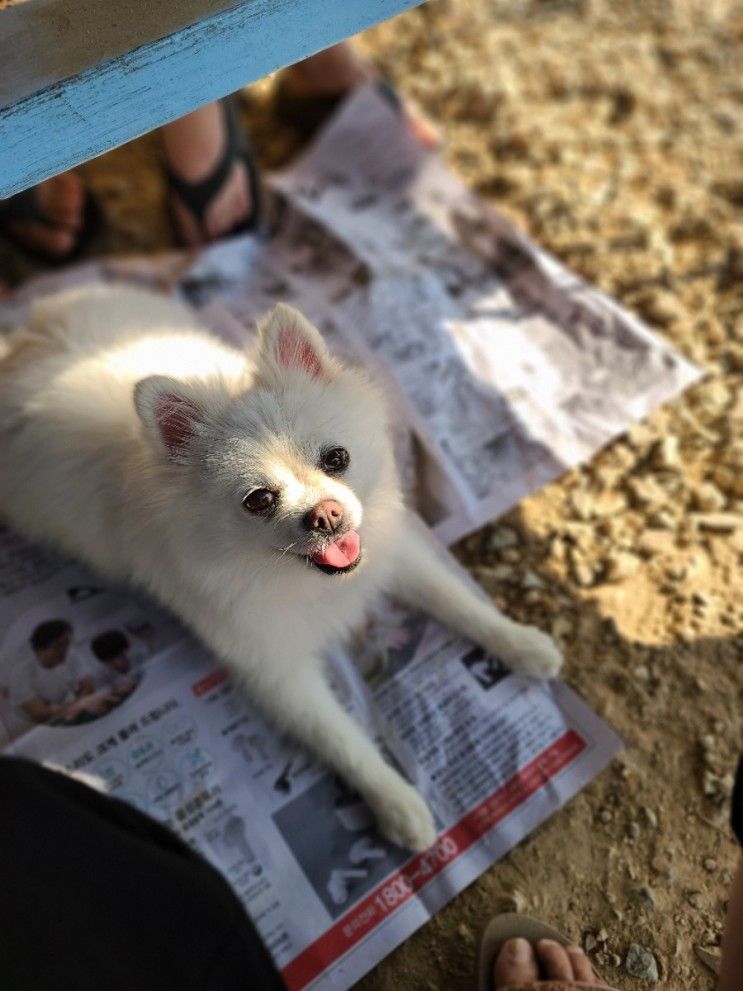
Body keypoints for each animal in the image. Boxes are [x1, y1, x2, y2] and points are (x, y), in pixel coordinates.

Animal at [0, 286, 560, 852]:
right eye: (259, 500)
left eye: (337, 458)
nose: (327, 515)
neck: (304, 579)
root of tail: (24, 341)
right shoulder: (274, 668)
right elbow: (341, 739)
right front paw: (396, 803)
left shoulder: (389, 550)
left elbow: (456, 600)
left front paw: (521, 643)